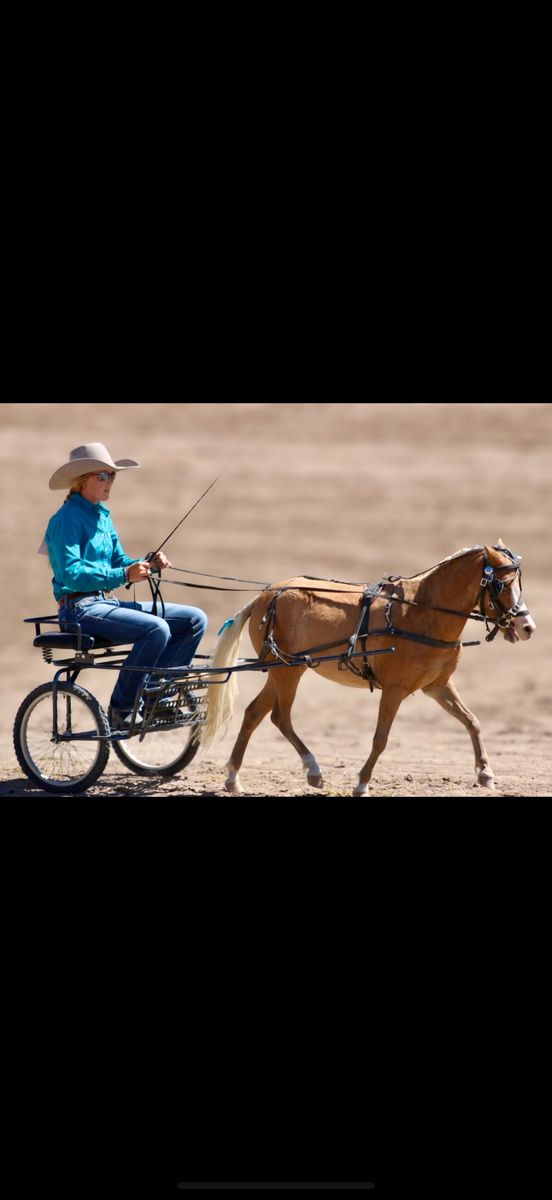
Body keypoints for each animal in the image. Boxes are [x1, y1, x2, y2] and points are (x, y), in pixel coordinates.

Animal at [198, 541, 536, 795]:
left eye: (518, 583)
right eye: (502, 585)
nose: (527, 627)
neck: (422, 613)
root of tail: (266, 593)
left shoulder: (437, 685)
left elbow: (472, 721)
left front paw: (485, 773)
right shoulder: (395, 689)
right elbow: (380, 738)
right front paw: (361, 782)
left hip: (284, 668)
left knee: (255, 713)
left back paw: (233, 778)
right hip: (288, 671)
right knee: (280, 716)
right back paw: (313, 769)